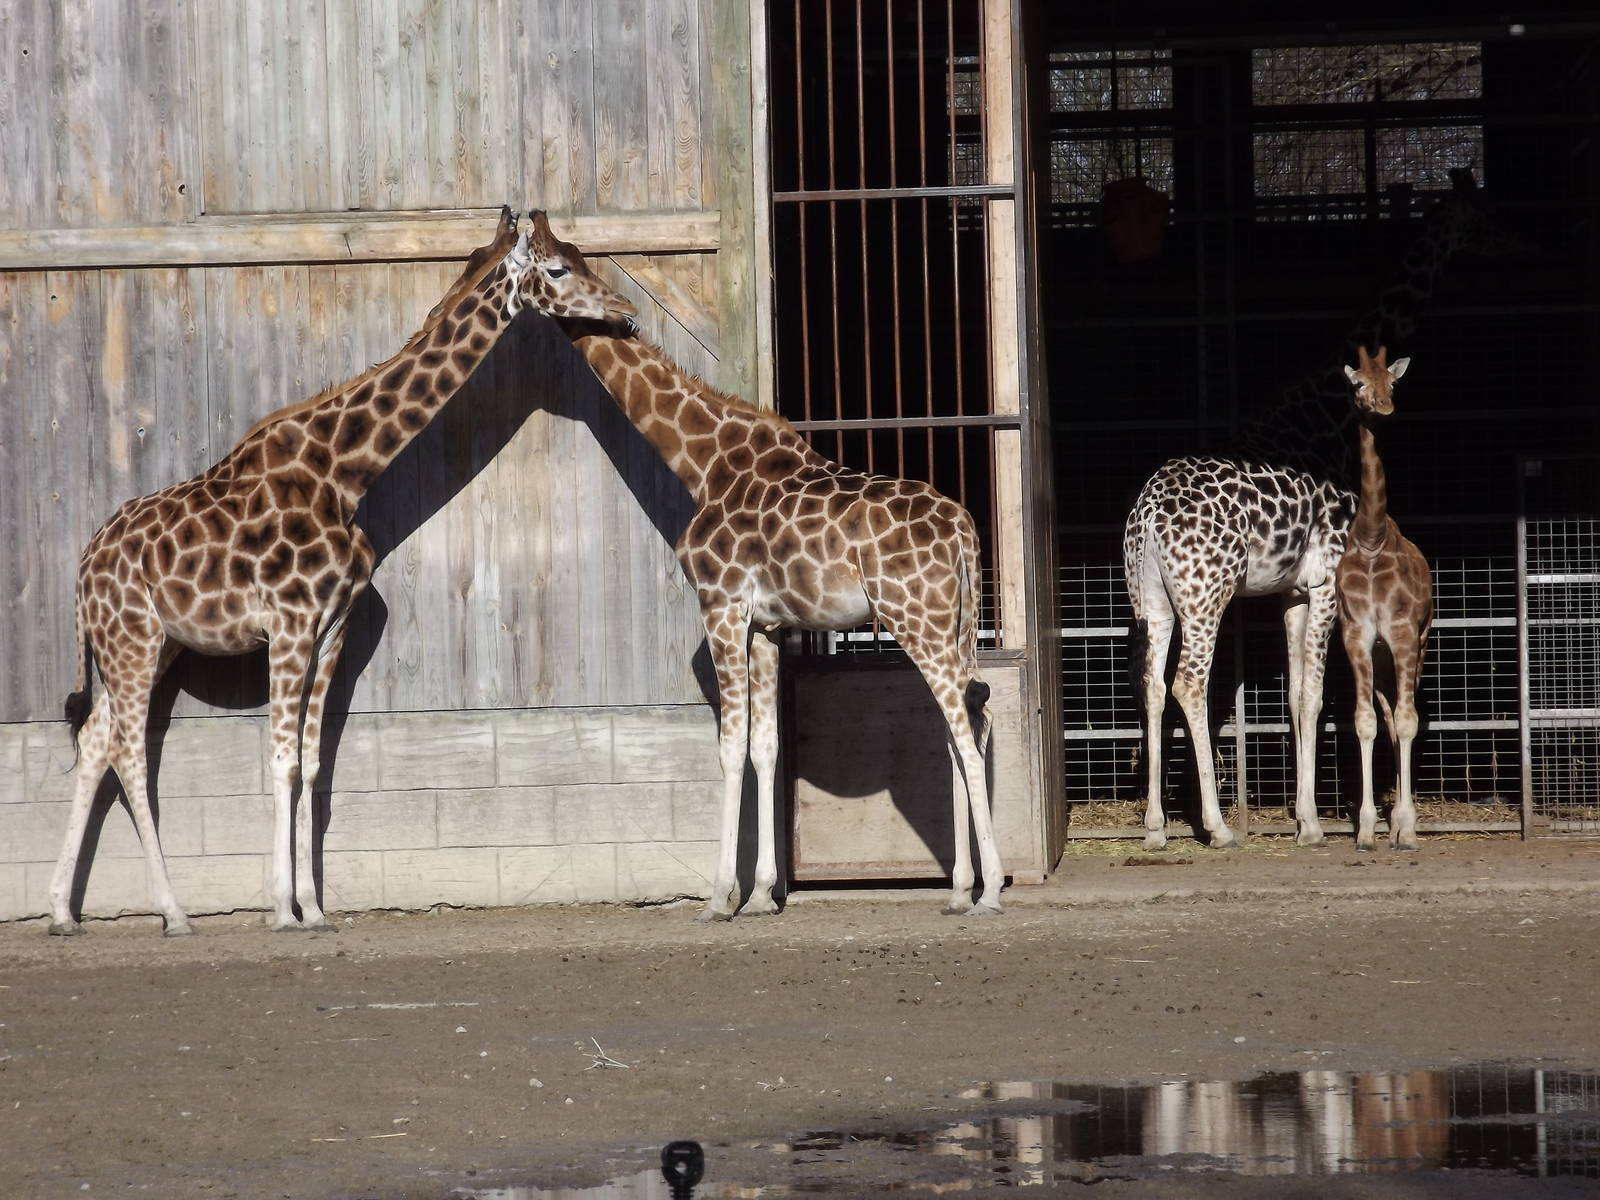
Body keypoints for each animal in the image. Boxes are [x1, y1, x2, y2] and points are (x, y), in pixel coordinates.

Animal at [48, 209, 636, 936]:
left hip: (152, 647)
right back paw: (173, 912)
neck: (345, 473)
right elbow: (279, 758)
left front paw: (314, 908)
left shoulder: (333, 628)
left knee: (96, 738)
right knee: (129, 750)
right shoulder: (289, 624)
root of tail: (83, 568)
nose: (626, 312)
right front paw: (280, 908)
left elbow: (309, 762)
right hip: (131, 642)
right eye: (557, 268)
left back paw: (62, 911)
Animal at [1123, 170, 1513, 851]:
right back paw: (1217, 827)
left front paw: (1306, 816)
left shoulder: (1292, 590)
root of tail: (1146, 516)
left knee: (1149, 684)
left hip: (1149, 595)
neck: (1327, 414)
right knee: (1188, 682)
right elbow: (1314, 697)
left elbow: (1297, 697)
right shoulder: (1326, 580)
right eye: (1483, 216)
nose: (1509, 240)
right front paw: (1313, 823)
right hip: (1207, 594)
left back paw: (1154, 827)